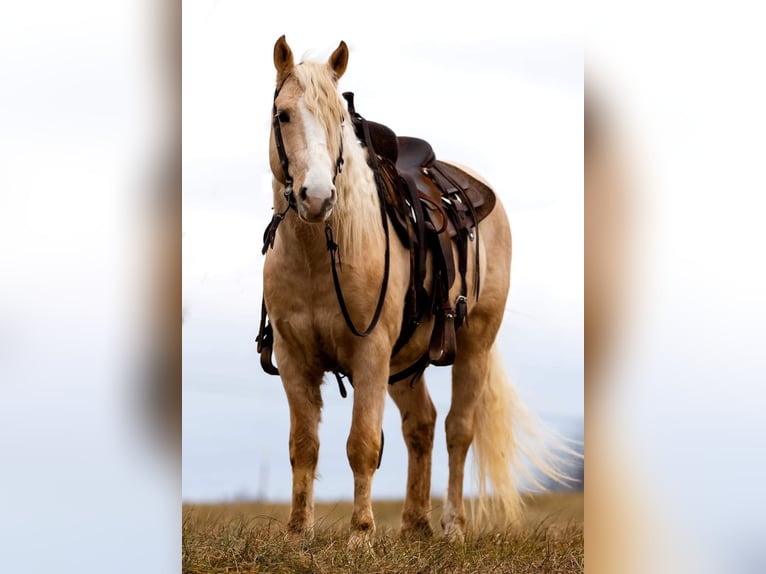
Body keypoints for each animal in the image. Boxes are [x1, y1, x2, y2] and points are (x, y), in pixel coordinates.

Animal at [260, 36, 560, 544]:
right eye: (283, 115)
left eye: (338, 119)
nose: (317, 197)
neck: (320, 256)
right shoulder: (293, 357)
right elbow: (304, 445)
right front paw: (298, 533)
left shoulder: (371, 354)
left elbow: (362, 443)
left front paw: (361, 534)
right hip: (406, 364)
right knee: (422, 423)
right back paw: (415, 524)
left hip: (473, 346)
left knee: (458, 430)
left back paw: (452, 526)